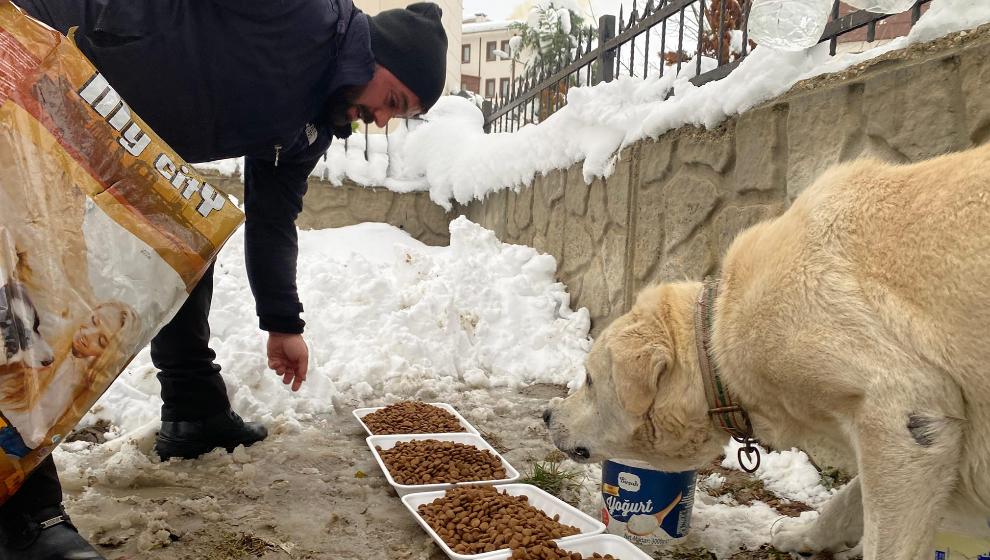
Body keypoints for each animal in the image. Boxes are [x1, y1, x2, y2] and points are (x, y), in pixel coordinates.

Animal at [548, 142, 990, 556]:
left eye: (590, 379)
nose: (547, 414)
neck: (714, 339)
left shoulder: (903, 412)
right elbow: (848, 500)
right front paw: (803, 535)